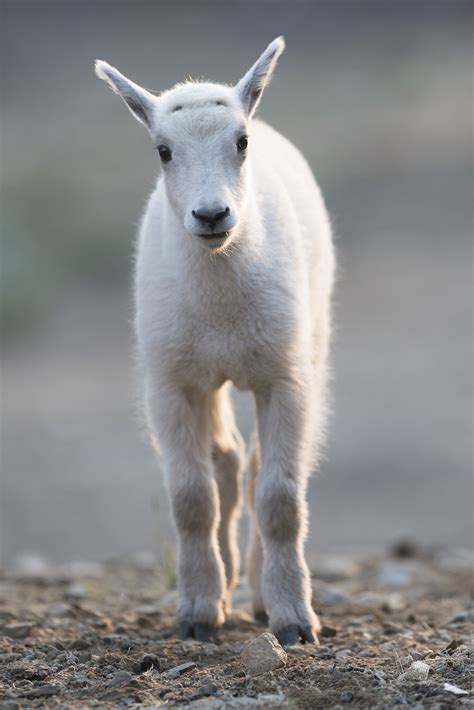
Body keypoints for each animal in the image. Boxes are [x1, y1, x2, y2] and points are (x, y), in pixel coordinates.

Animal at [95, 37, 334, 644]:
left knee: (252, 468)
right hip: (206, 375)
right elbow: (192, 499)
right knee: (224, 463)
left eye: (241, 142)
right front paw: (199, 612)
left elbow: (279, 497)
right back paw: (226, 587)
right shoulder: (172, 383)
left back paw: (258, 592)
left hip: (311, 337)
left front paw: (295, 619)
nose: (211, 214)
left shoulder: (284, 378)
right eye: (162, 151)